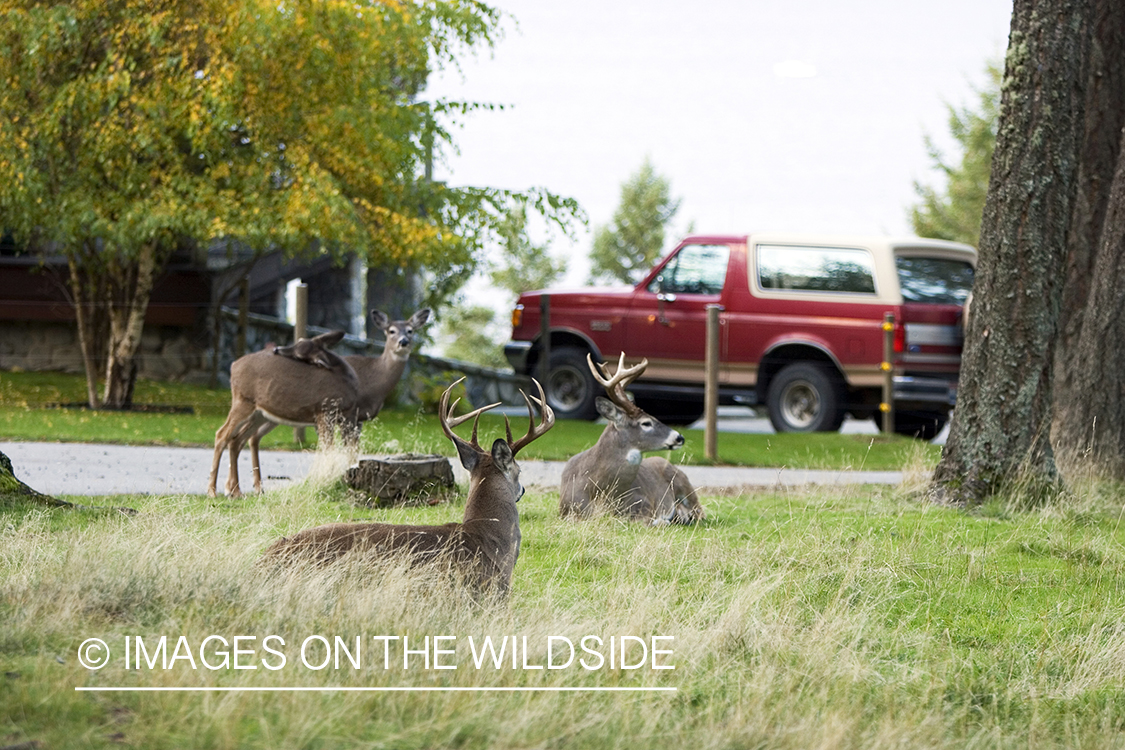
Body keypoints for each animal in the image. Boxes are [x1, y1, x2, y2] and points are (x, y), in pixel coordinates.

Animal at [207, 305, 429, 499]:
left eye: (410, 330)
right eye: (391, 331)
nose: (403, 342)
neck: (374, 381)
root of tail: (234, 365)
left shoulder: (351, 418)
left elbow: (345, 451)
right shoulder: (331, 412)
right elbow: (333, 450)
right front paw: (324, 481)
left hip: (261, 412)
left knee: (241, 439)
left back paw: (238, 490)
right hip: (244, 401)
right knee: (223, 435)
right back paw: (215, 491)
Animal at [560, 353, 706, 526]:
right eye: (646, 423)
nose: (679, 437)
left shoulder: (644, 503)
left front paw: (668, 519)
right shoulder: (566, 510)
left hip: (684, 484)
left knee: (700, 511)